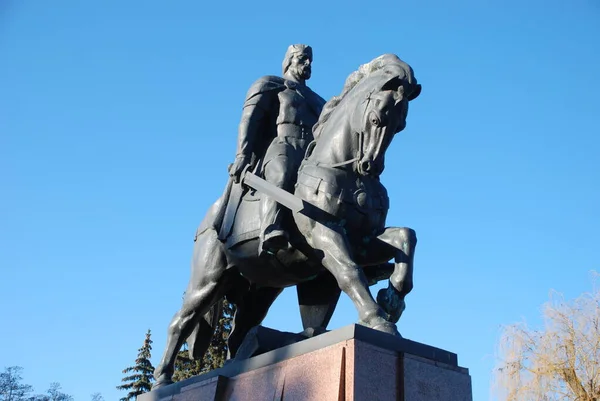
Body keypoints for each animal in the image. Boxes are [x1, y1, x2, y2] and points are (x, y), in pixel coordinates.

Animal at [151, 54, 422, 388]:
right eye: (376, 119)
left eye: (401, 125)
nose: (370, 166)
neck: (344, 171)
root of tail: (207, 220)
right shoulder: (325, 234)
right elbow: (349, 272)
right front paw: (377, 319)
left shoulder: (363, 239)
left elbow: (406, 238)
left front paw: (393, 297)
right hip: (209, 279)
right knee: (181, 321)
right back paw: (162, 380)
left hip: (260, 289)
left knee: (238, 333)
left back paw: (237, 363)